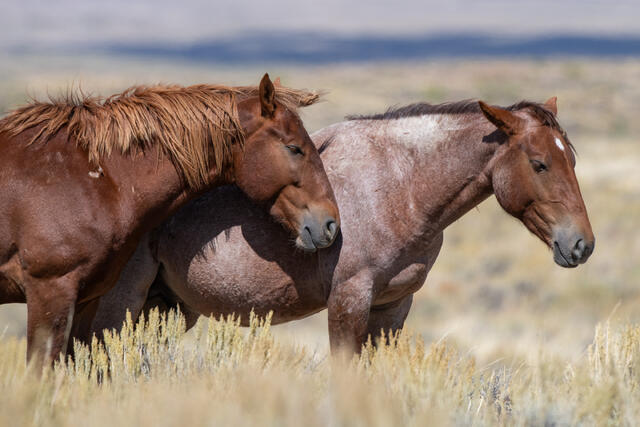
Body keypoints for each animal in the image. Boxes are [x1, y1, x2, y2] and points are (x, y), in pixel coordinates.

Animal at [89, 97, 594, 355]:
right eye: (539, 163)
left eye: (571, 159)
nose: (581, 245)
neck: (399, 185)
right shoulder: (348, 301)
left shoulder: (392, 308)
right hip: (122, 303)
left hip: (166, 307)